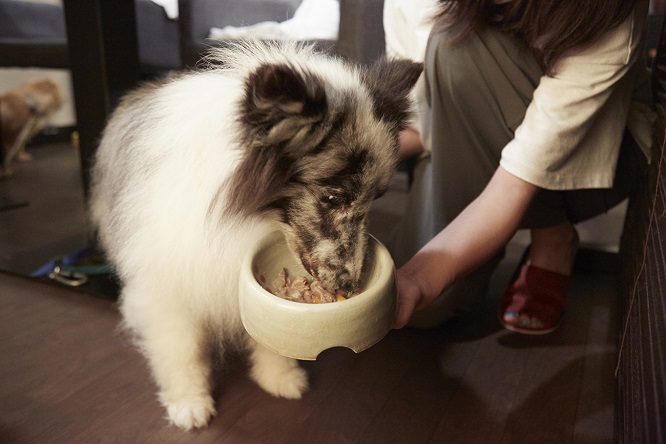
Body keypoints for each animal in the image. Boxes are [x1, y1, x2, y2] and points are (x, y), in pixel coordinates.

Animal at [89, 40, 420, 430]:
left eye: (374, 200)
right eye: (333, 198)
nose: (350, 286)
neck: (244, 216)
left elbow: (266, 338)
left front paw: (280, 378)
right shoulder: (167, 286)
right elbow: (181, 350)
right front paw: (189, 403)